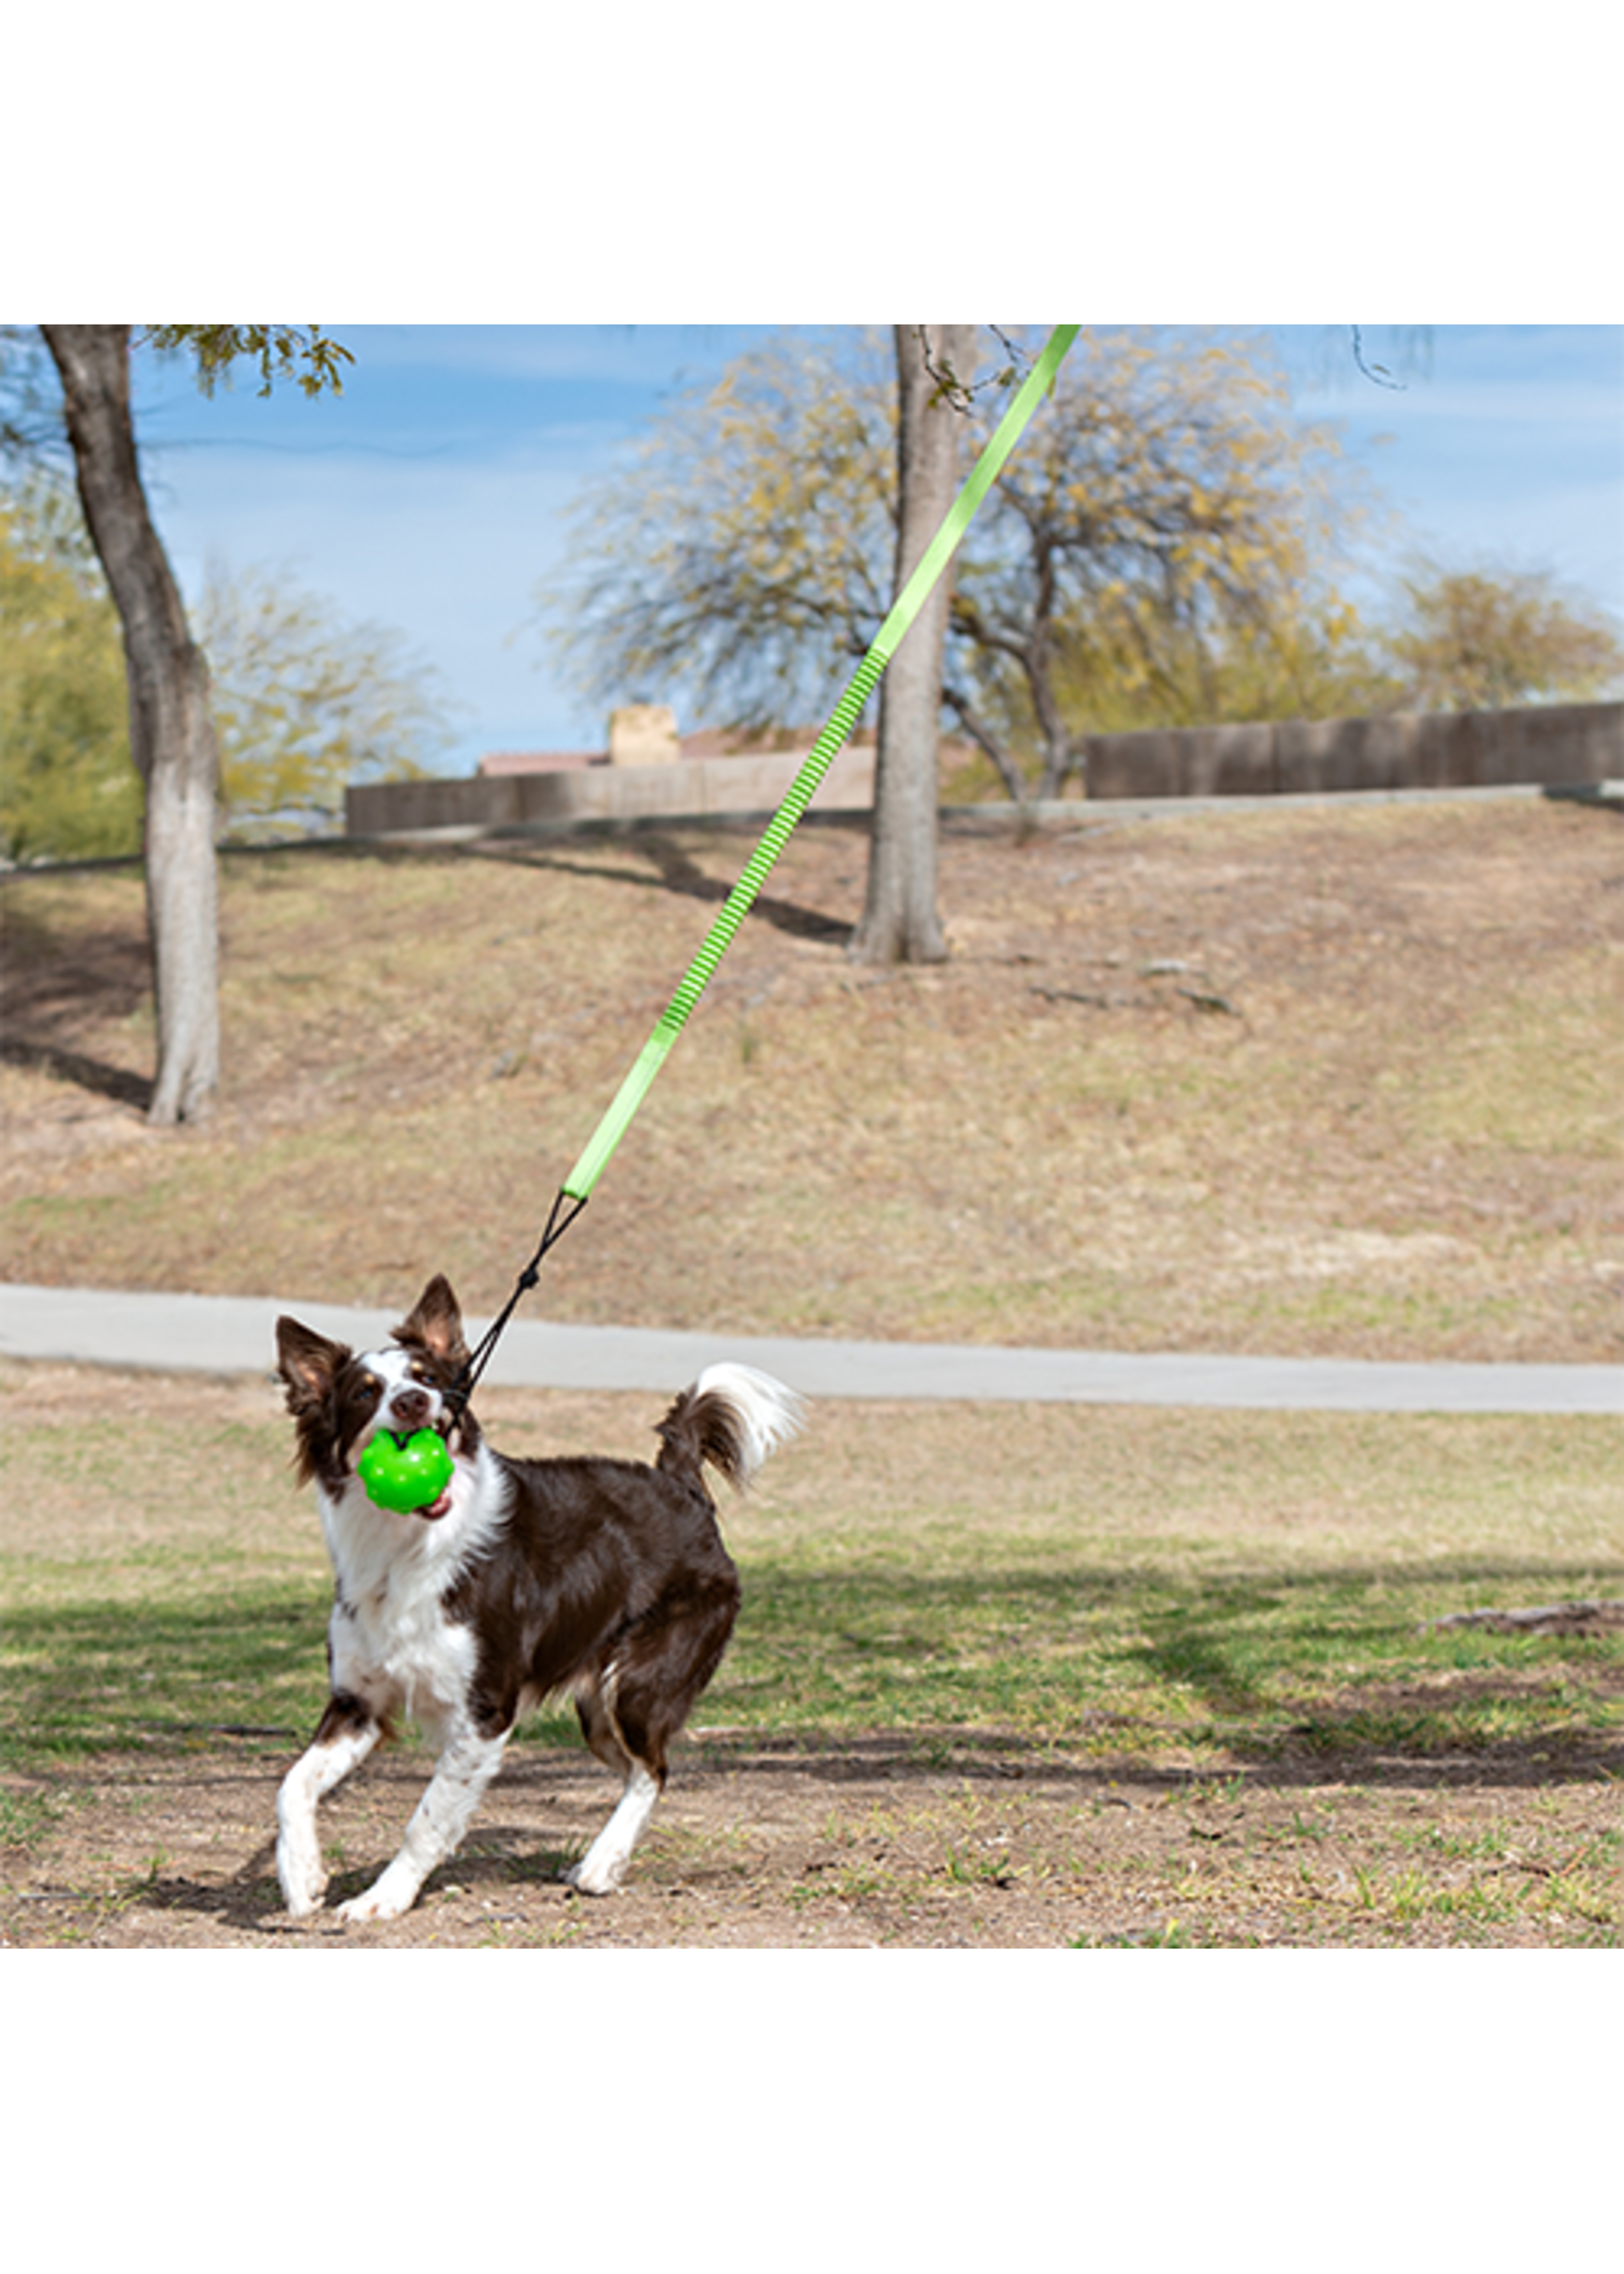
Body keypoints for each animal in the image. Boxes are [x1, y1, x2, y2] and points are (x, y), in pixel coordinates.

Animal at [271, 1282, 795, 1919]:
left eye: (426, 1378)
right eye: (365, 1391)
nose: (414, 1403)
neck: (409, 1545)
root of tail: (678, 1482)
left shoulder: (483, 1714)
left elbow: (427, 1819)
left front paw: (383, 1897)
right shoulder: (358, 1702)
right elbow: (292, 1784)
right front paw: (302, 1875)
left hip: (639, 1685)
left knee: (655, 1769)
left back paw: (600, 1865)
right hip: (597, 1713)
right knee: (634, 1768)